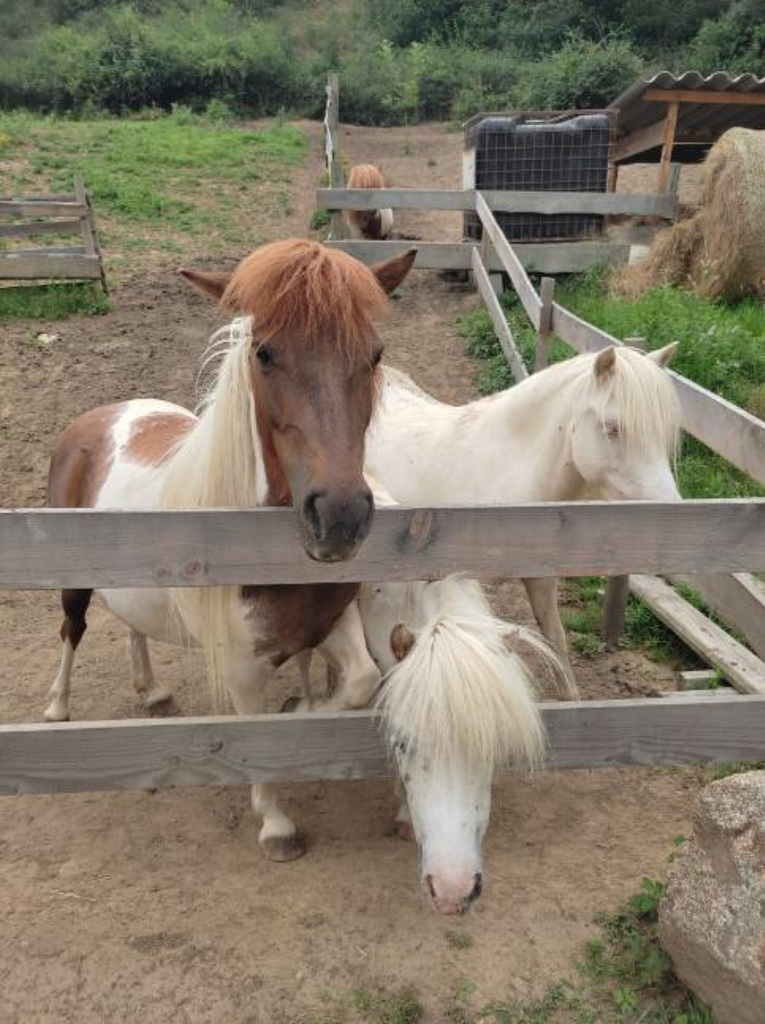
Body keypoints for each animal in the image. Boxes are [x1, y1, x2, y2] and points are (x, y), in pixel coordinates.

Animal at [44, 239, 415, 864]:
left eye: (375, 353)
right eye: (264, 354)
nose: (340, 517)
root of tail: (100, 417)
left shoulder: (330, 626)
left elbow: (359, 682)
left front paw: (304, 709)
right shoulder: (242, 667)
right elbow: (256, 733)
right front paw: (276, 824)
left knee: (133, 625)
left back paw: (152, 691)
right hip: (75, 583)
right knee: (74, 629)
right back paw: (57, 707)